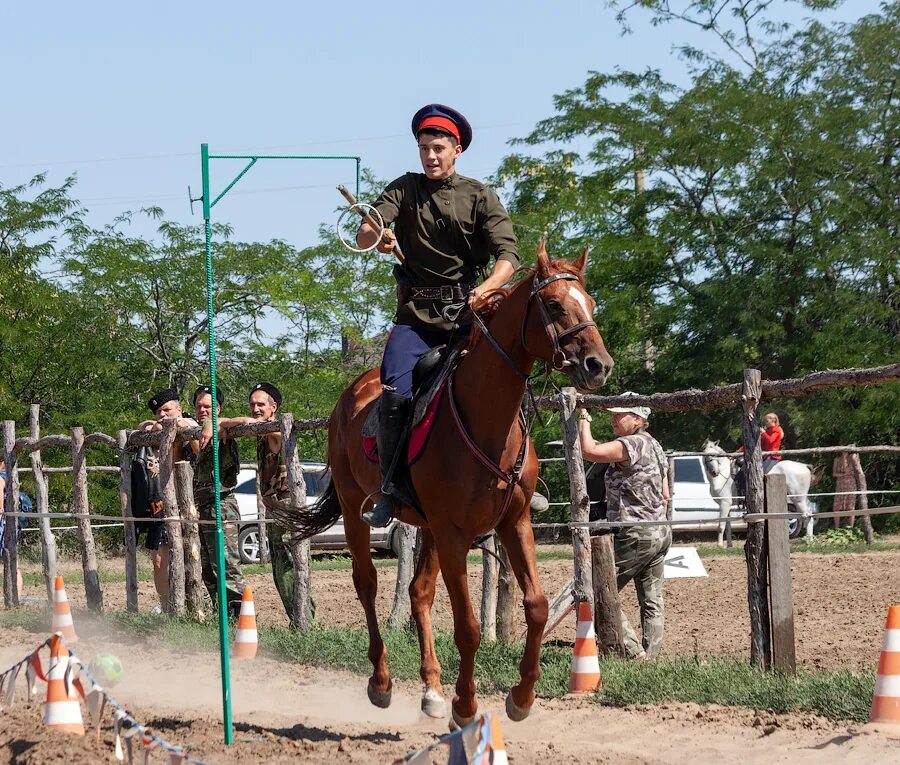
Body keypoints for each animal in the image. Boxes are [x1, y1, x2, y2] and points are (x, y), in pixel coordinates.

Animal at [288, 245, 612, 728]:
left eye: (590, 303)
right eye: (554, 305)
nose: (598, 365)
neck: (487, 419)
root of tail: (352, 394)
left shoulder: (513, 523)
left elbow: (536, 605)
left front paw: (521, 697)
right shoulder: (455, 533)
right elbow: (469, 626)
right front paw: (466, 704)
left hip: (427, 528)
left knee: (418, 593)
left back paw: (432, 689)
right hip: (355, 507)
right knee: (367, 583)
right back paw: (382, 681)